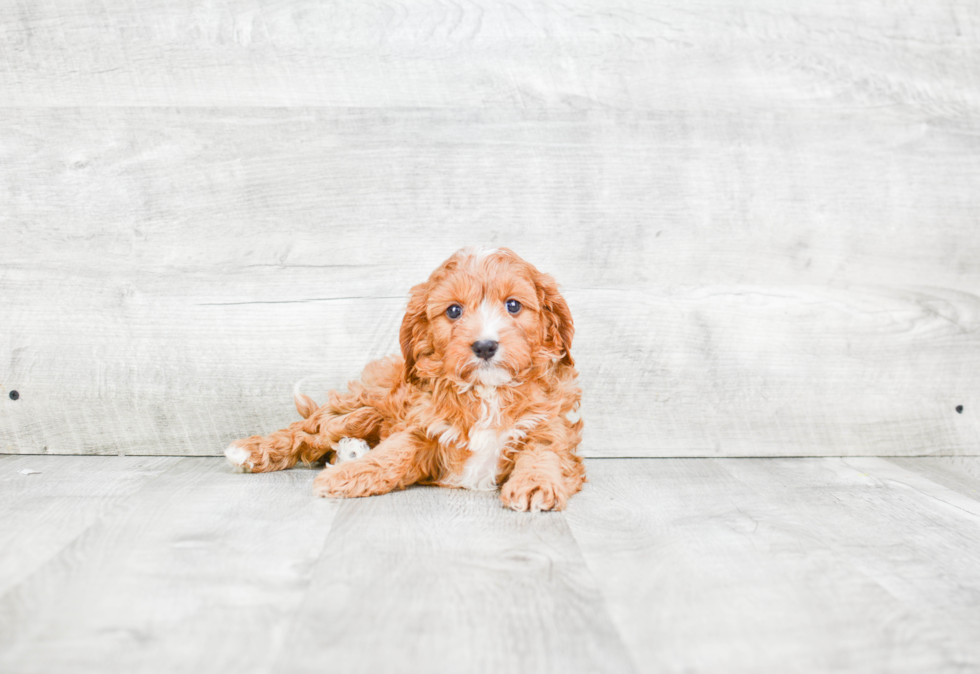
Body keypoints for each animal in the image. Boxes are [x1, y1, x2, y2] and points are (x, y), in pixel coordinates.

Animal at [226, 247, 584, 510]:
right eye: (454, 311)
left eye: (513, 305)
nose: (485, 345)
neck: (486, 391)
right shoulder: (421, 428)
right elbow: (390, 454)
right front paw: (347, 475)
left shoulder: (550, 430)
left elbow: (542, 454)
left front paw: (535, 484)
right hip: (363, 404)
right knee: (310, 430)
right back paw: (254, 450)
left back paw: (350, 450)